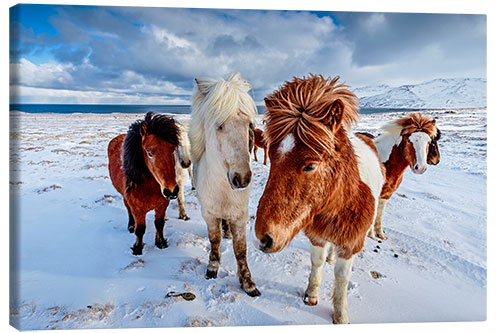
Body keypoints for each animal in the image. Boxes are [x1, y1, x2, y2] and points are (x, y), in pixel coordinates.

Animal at [107, 111, 180, 254]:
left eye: (172, 149)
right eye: (149, 153)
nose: (172, 191)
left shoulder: (163, 204)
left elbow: (159, 224)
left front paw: (160, 243)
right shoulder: (137, 210)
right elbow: (140, 229)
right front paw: (138, 249)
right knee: (127, 208)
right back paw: (130, 225)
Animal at [188, 72, 262, 296]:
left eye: (249, 125)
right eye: (219, 125)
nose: (242, 178)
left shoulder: (240, 215)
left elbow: (240, 249)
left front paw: (248, 283)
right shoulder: (209, 213)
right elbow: (214, 240)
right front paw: (212, 268)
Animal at [256, 74, 384, 322]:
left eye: (310, 165)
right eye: (272, 156)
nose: (264, 238)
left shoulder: (351, 244)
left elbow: (342, 278)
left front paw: (340, 315)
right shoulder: (316, 235)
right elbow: (316, 263)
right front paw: (311, 296)